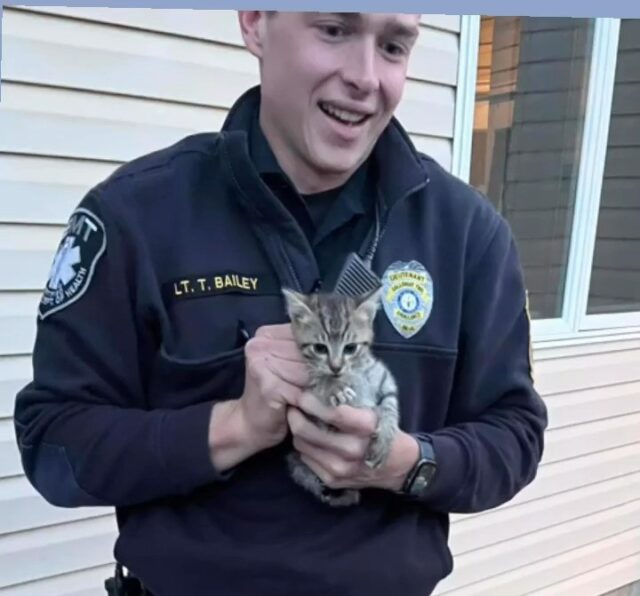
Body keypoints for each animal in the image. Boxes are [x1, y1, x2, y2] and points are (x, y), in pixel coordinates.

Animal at [282, 286, 398, 506]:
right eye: (319, 348)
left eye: (350, 348)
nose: (336, 367)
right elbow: (318, 381)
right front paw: (334, 386)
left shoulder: (384, 380)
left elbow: (390, 405)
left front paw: (384, 439)